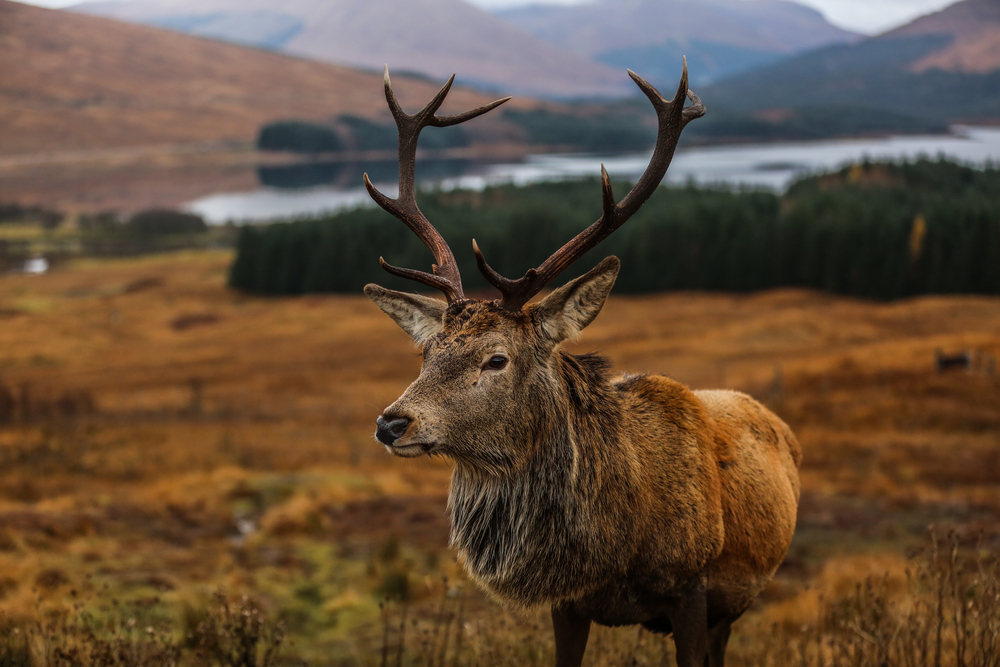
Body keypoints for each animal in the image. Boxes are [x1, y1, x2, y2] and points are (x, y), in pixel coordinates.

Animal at [361, 63, 802, 667]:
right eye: (428, 351)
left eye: (497, 358)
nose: (391, 422)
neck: (611, 548)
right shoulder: (567, 604)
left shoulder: (693, 589)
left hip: (732, 607)